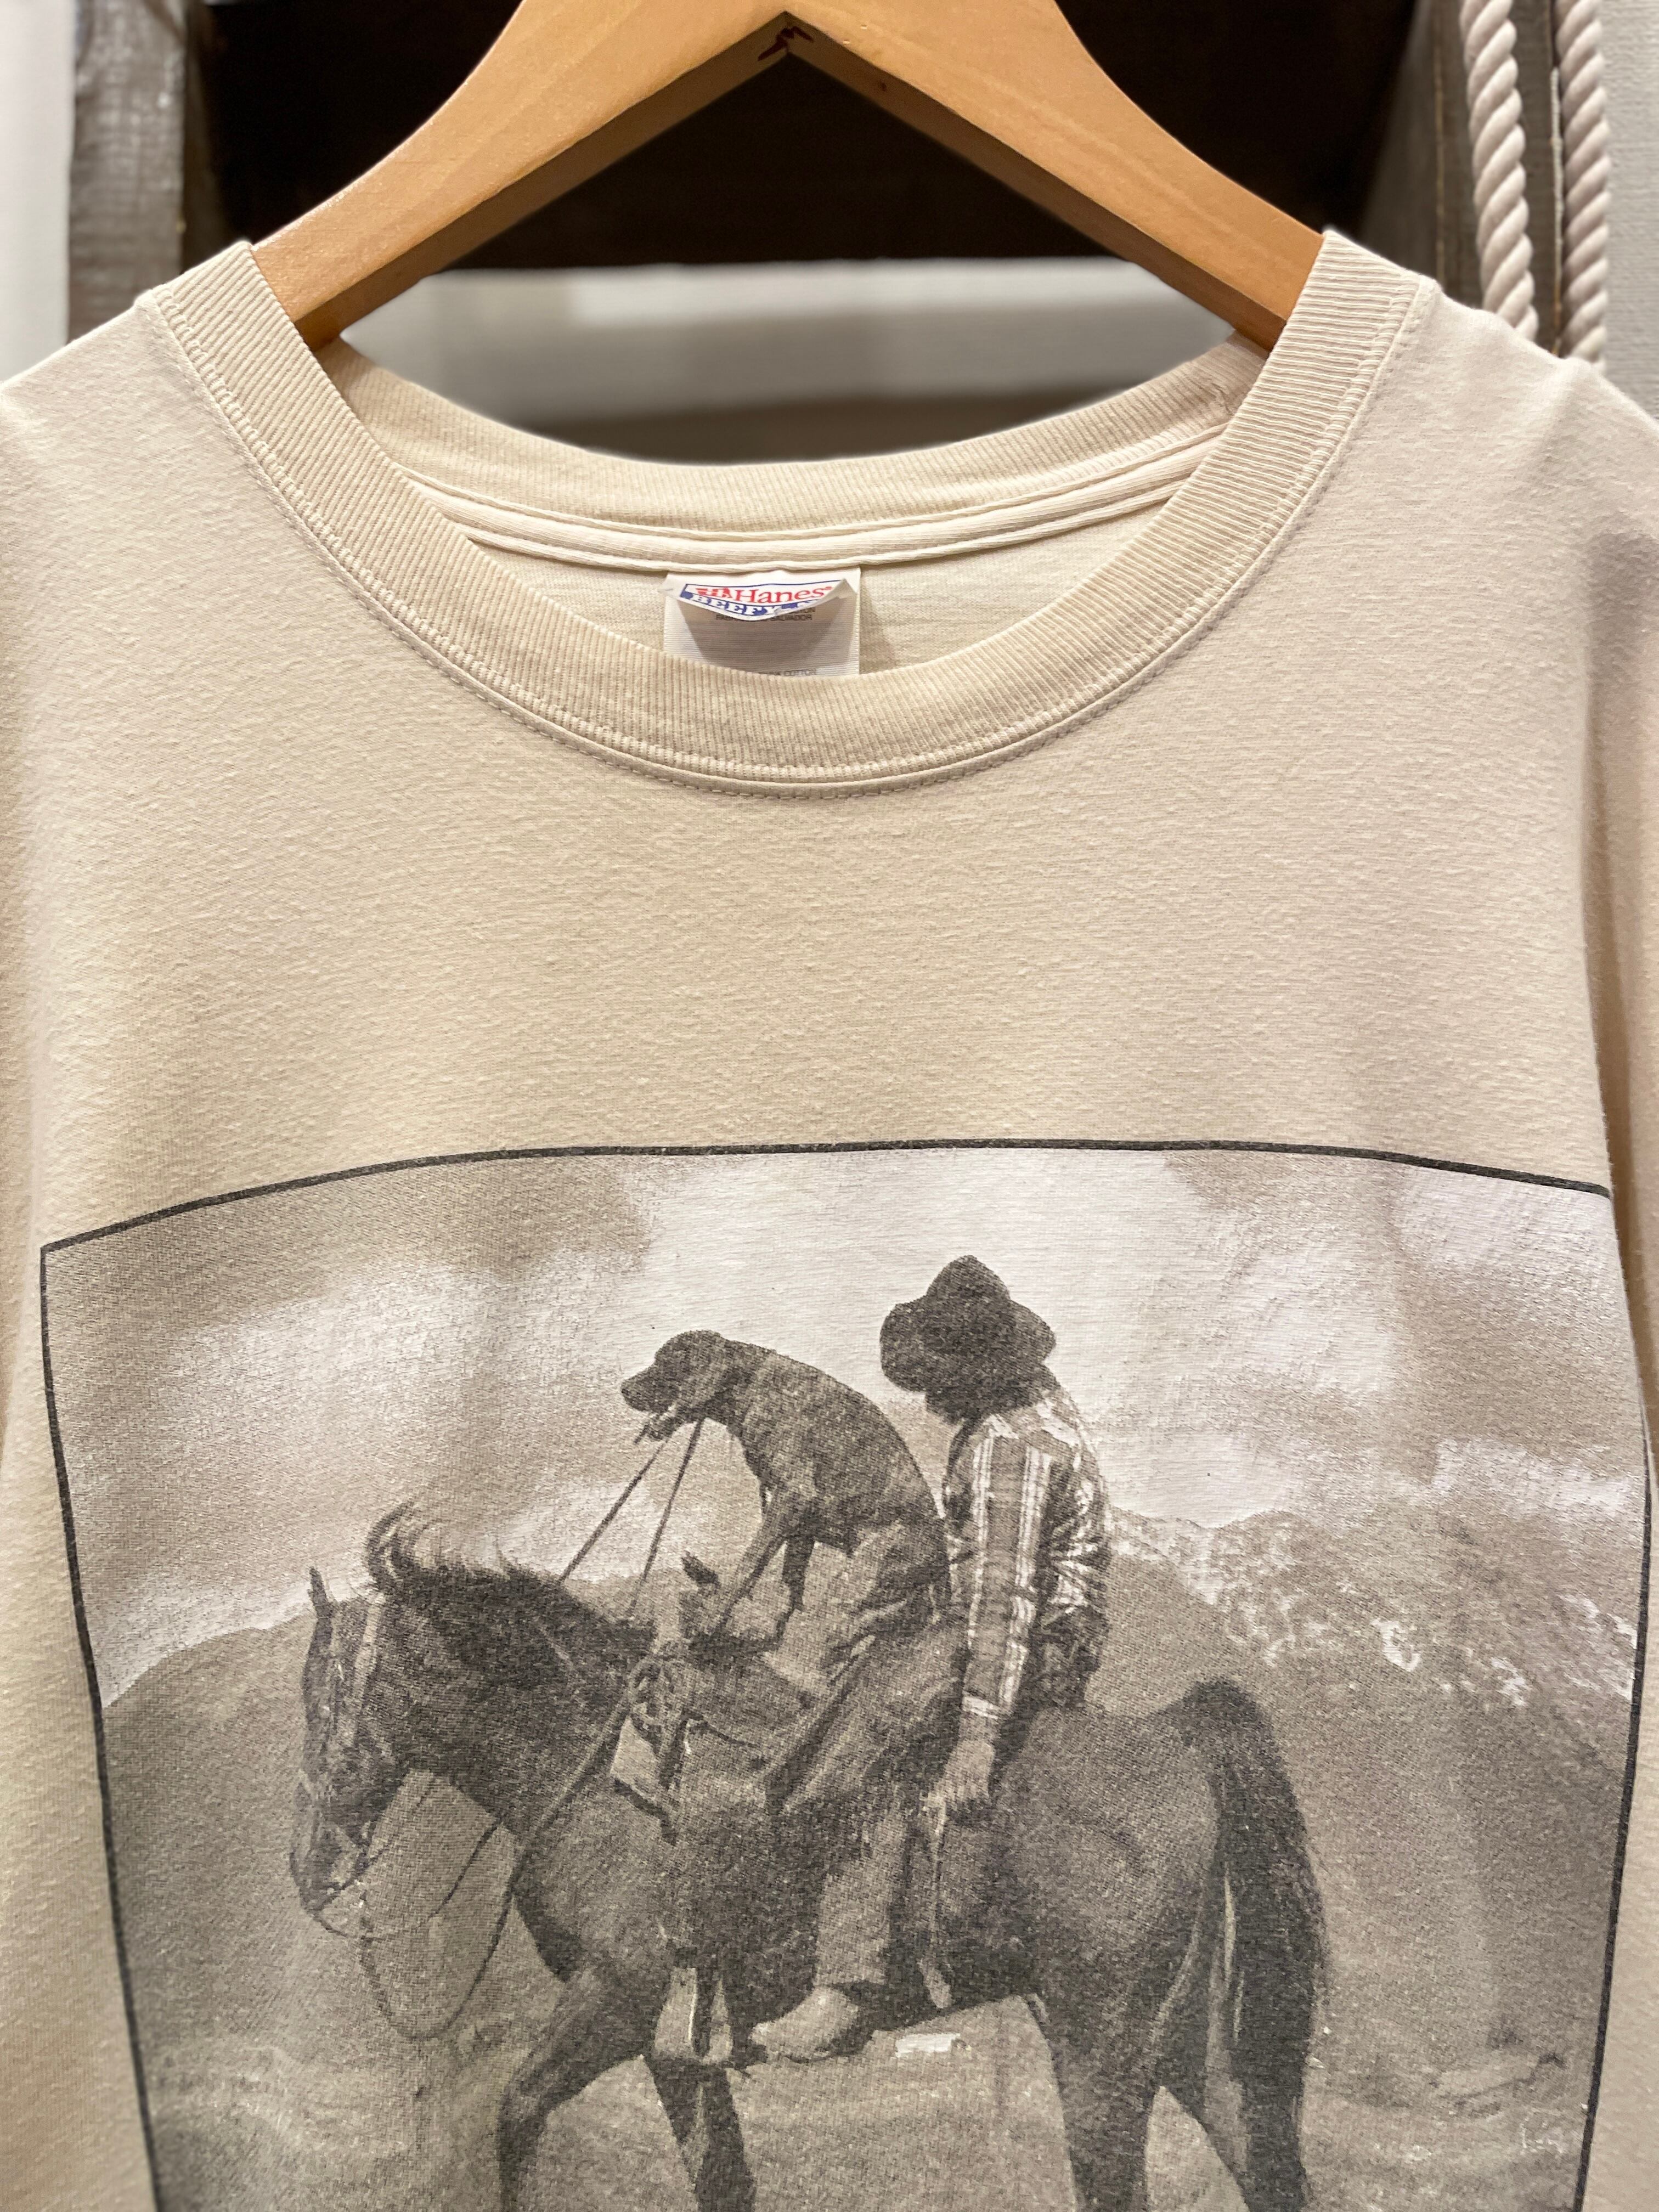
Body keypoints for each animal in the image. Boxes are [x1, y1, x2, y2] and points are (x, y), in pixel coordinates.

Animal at [291, 1509, 1326, 2212]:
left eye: (323, 1696)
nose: (309, 1866)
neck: (601, 1776)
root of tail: (1175, 1737)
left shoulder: (610, 2002)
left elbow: (514, 2117)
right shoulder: (677, 2046)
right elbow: (723, 2182)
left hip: (1101, 2047)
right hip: (1187, 2039)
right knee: (1264, 2158)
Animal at [620, 1330, 947, 1648]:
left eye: (664, 1361)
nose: (624, 1388)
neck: (752, 1384)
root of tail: (942, 1551)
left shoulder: (793, 1498)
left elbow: (750, 1563)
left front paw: (713, 1618)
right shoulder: (802, 1525)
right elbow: (789, 1583)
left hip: (861, 1571)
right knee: (913, 1610)